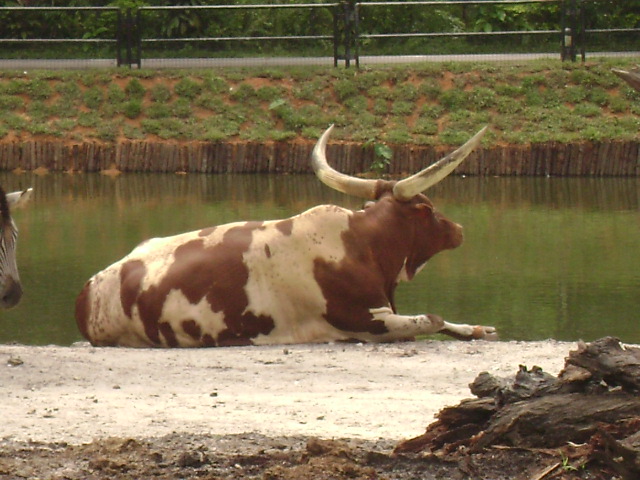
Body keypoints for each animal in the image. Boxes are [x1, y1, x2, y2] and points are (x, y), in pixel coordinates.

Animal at [75, 125, 496, 347]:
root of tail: (89, 290)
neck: (361, 246)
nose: (459, 230)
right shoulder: (369, 323)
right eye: (427, 208)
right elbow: (432, 318)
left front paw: (477, 327)